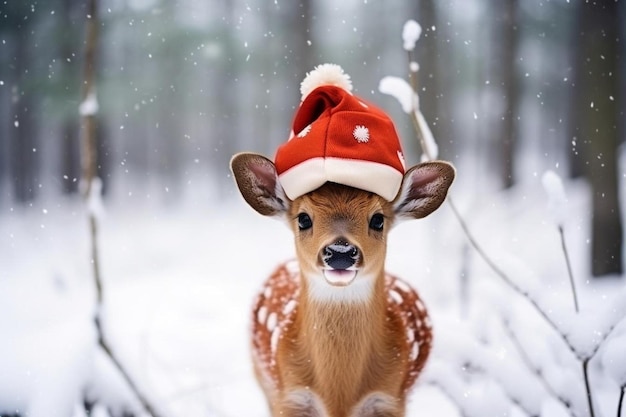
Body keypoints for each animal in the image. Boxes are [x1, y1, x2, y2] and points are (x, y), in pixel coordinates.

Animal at [229, 153, 454, 416]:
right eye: (303, 219)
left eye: (378, 220)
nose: (340, 252)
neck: (338, 393)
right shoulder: (291, 396)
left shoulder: (389, 398)